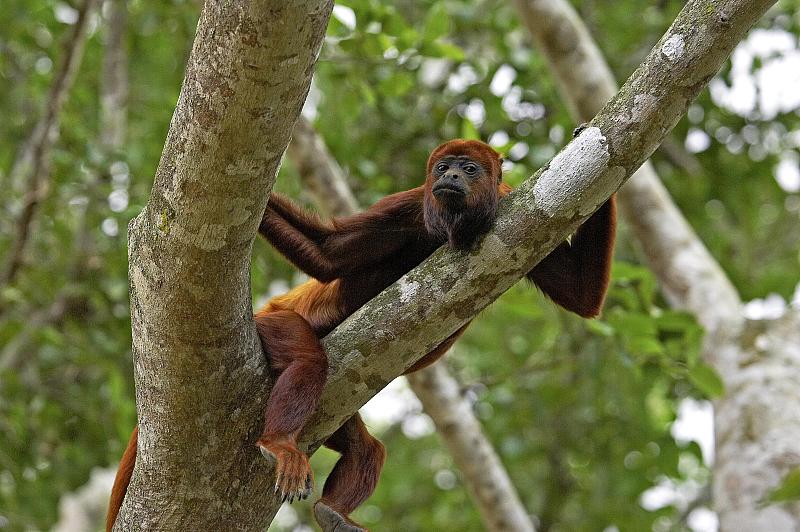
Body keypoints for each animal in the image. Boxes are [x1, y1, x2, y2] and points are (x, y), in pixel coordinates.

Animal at [108, 140, 620, 532]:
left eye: (469, 168)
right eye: (443, 167)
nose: (452, 175)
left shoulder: (513, 205)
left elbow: (581, 296)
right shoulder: (411, 205)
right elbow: (330, 254)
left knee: (366, 448)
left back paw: (332, 512)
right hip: (271, 325)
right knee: (309, 363)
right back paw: (278, 443)